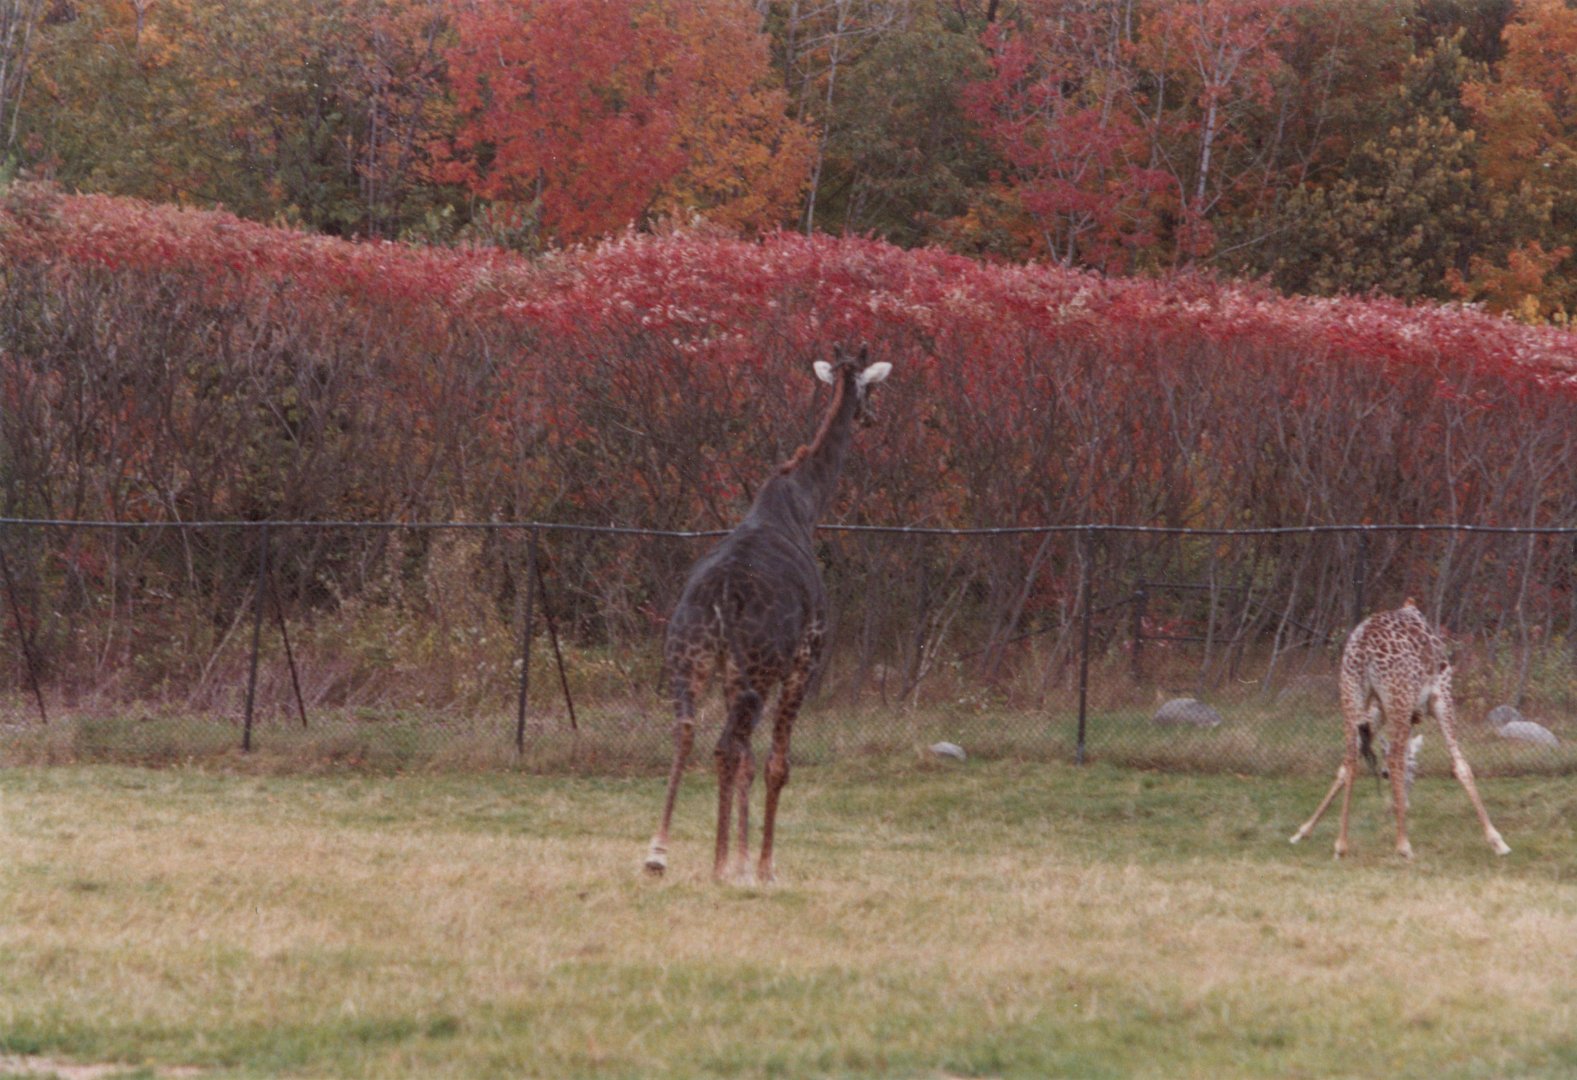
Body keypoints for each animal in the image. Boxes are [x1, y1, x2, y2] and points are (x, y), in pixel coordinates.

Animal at [644, 344, 892, 883]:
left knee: (687, 732)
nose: (871, 417)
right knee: (723, 746)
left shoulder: (733, 673)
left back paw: (658, 853)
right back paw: (716, 865)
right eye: (873, 388)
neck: (802, 506)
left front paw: (741, 860)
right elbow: (778, 764)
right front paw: (761, 867)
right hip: (757, 671)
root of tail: (719, 595)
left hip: (690, 659)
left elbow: (750, 761)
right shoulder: (805, 661)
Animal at [1290, 600, 1510, 859]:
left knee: (1352, 759)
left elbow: (1346, 768)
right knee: (1395, 758)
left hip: (1352, 694)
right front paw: (1497, 840)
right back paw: (1403, 845)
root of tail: (1363, 650)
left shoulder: (1379, 709)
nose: (1405, 804)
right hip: (1399, 698)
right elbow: (1461, 766)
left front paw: (1303, 831)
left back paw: (1341, 845)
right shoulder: (1441, 693)